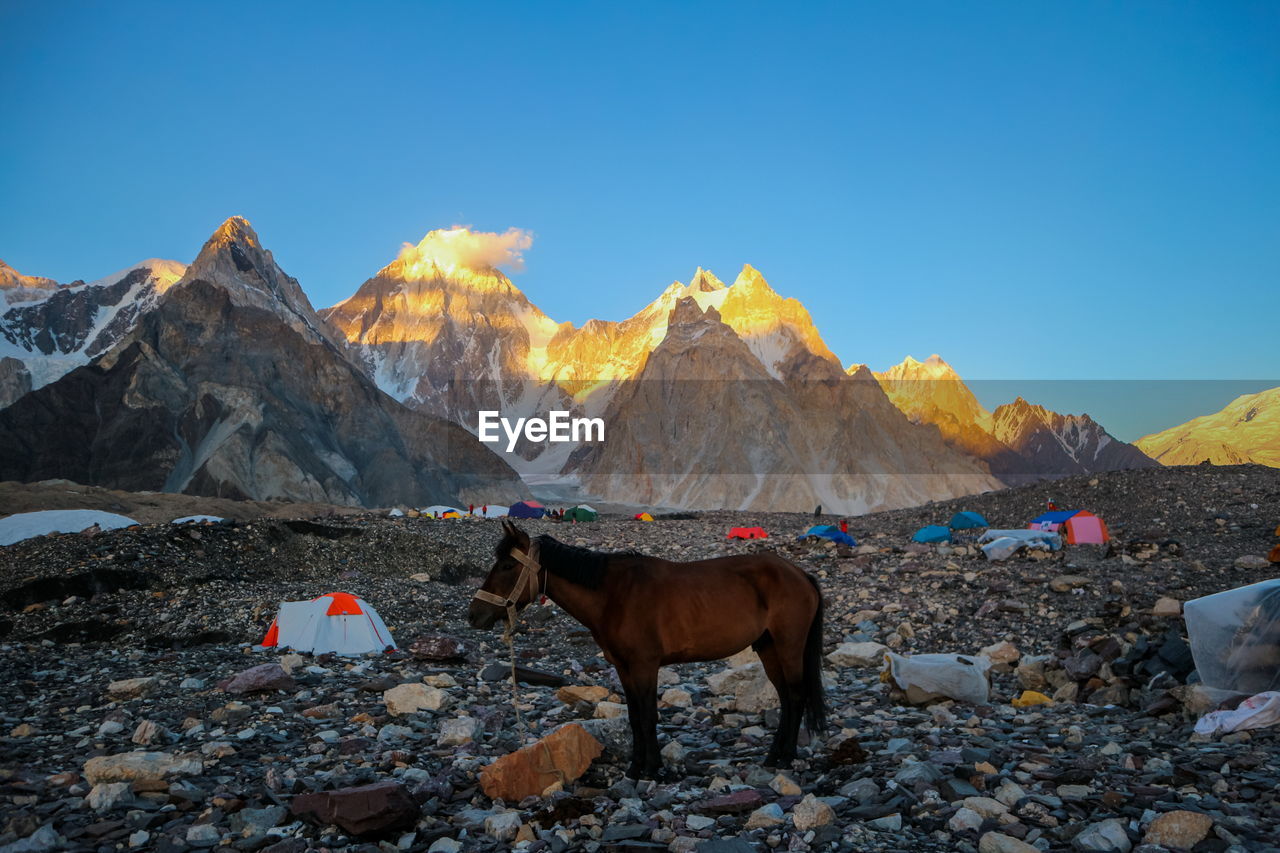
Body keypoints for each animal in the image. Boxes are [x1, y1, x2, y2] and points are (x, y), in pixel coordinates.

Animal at [465, 517, 824, 778]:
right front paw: (637, 767)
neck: (614, 595)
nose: (474, 615)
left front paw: (652, 769)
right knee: (785, 698)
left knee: (795, 696)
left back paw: (785, 757)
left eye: (507, 566)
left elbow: (649, 715)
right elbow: (636, 717)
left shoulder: (645, 665)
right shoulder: (624, 667)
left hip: (789, 645)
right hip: (767, 648)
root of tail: (800, 574)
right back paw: (774, 755)